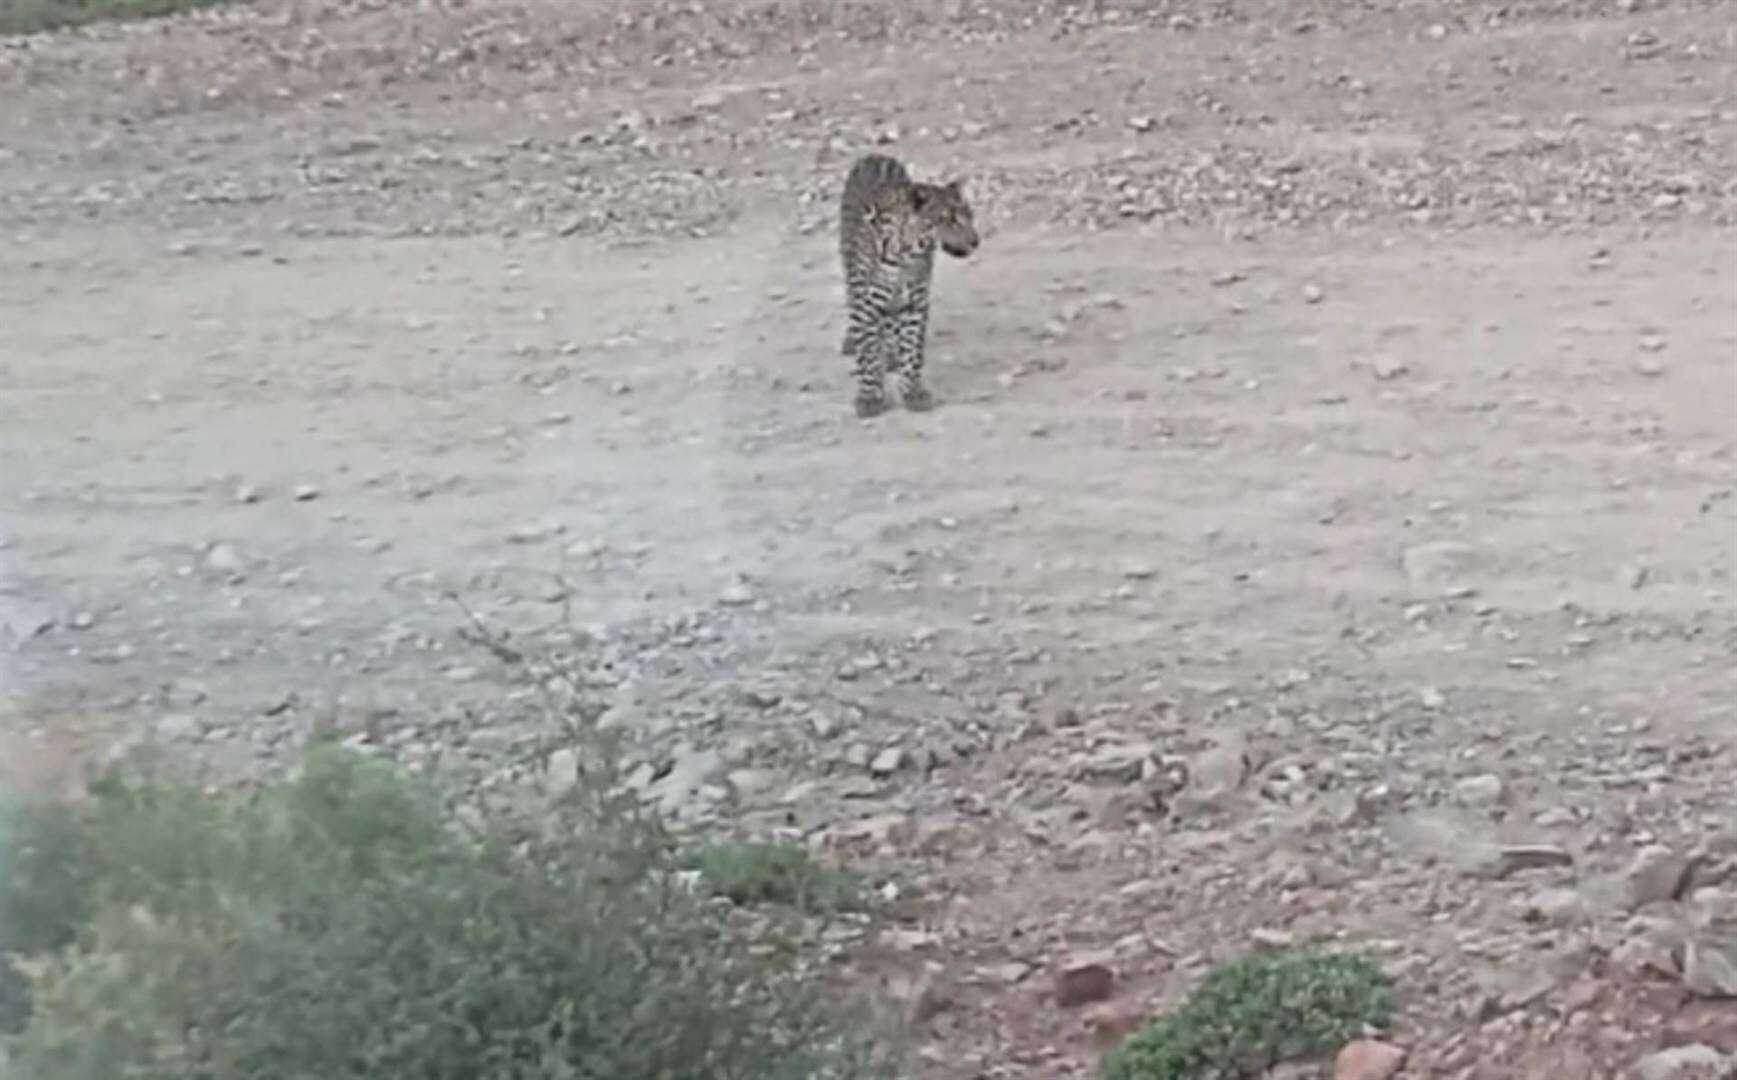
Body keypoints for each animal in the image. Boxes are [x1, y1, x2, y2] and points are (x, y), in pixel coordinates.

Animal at [837, 152, 979, 418]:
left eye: (970, 216)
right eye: (948, 220)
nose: (976, 240)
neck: (908, 255)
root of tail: (875, 155)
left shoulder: (915, 302)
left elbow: (911, 350)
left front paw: (913, 392)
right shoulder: (868, 304)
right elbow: (868, 353)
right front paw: (869, 397)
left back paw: (892, 354)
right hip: (851, 269)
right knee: (853, 299)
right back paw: (854, 340)